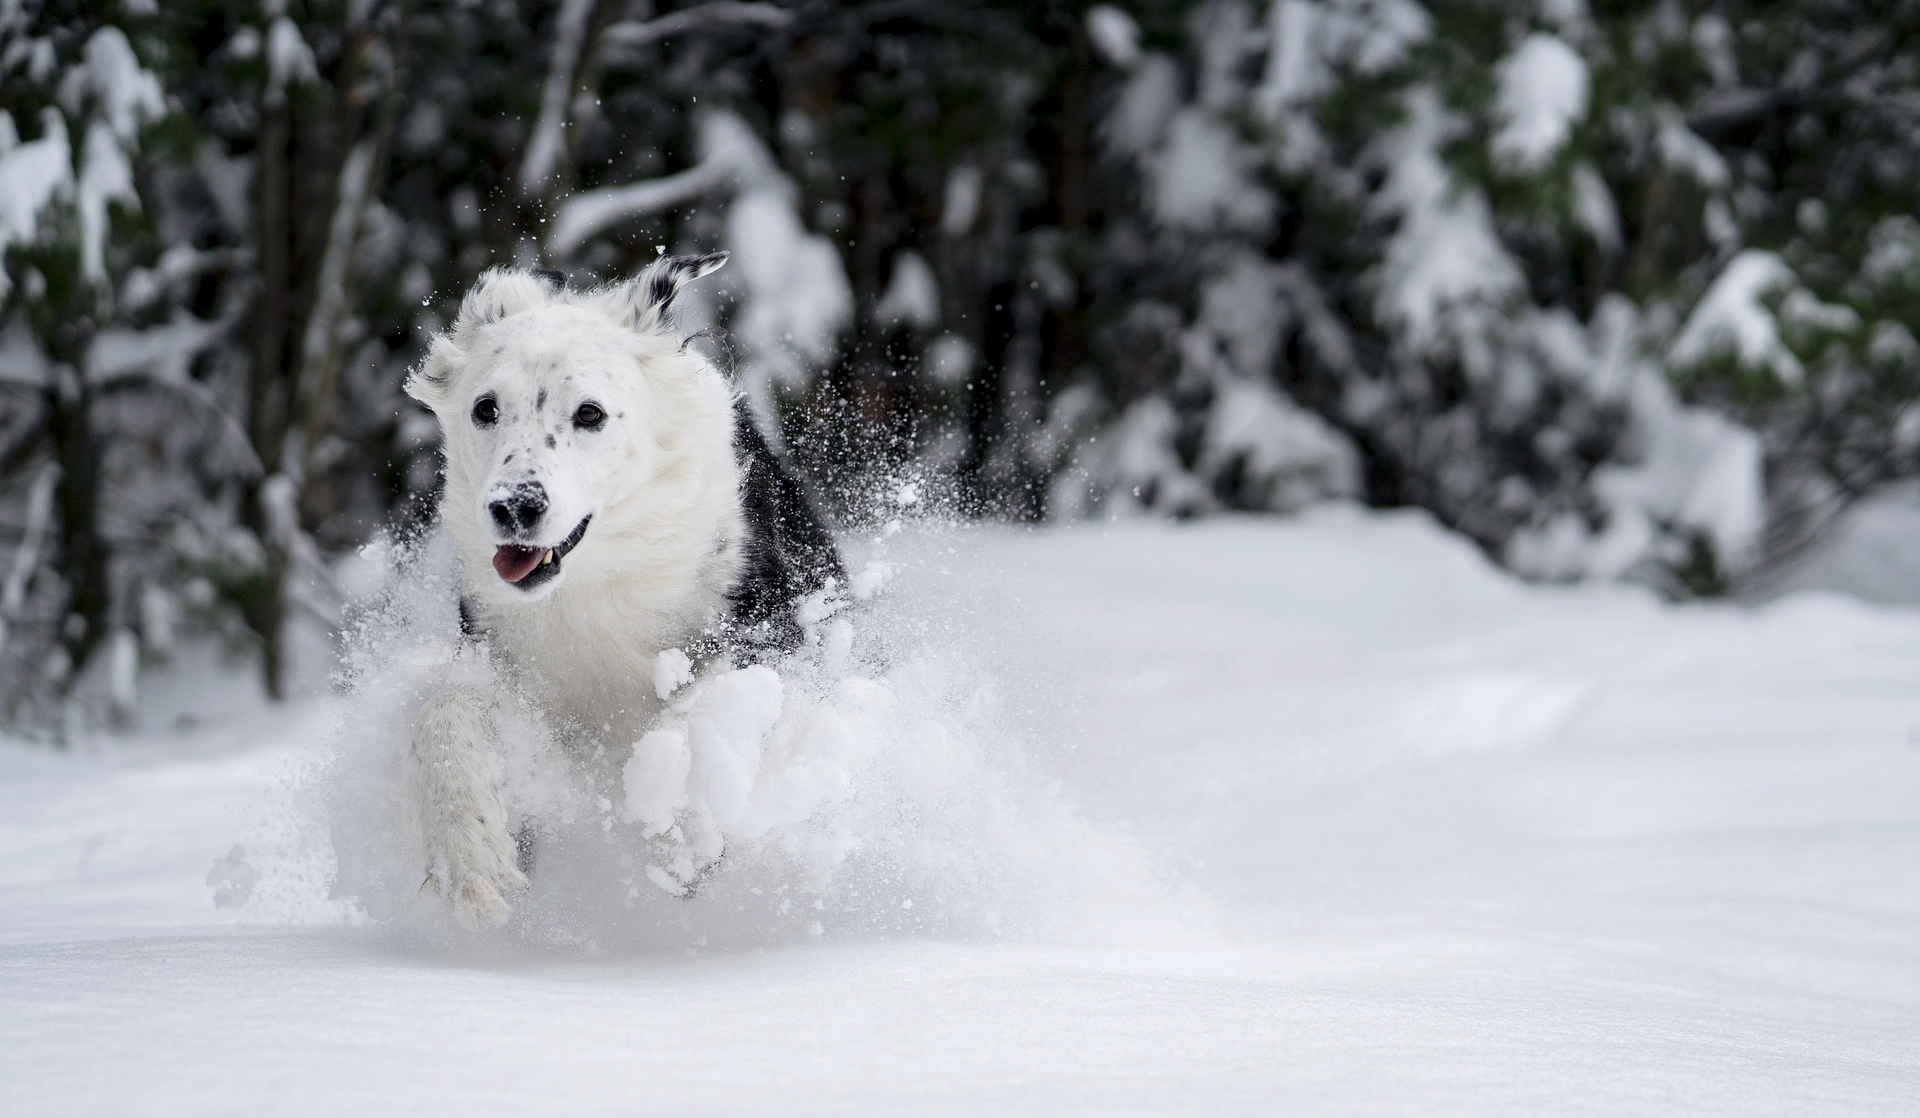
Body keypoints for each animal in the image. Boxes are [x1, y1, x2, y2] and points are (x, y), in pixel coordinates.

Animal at [397, 255, 840, 929]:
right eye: (485, 408)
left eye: (590, 414)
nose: (514, 507)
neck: (595, 580)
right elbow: (443, 711)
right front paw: (468, 854)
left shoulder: (771, 635)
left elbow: (702, 705)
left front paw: (681, 831)